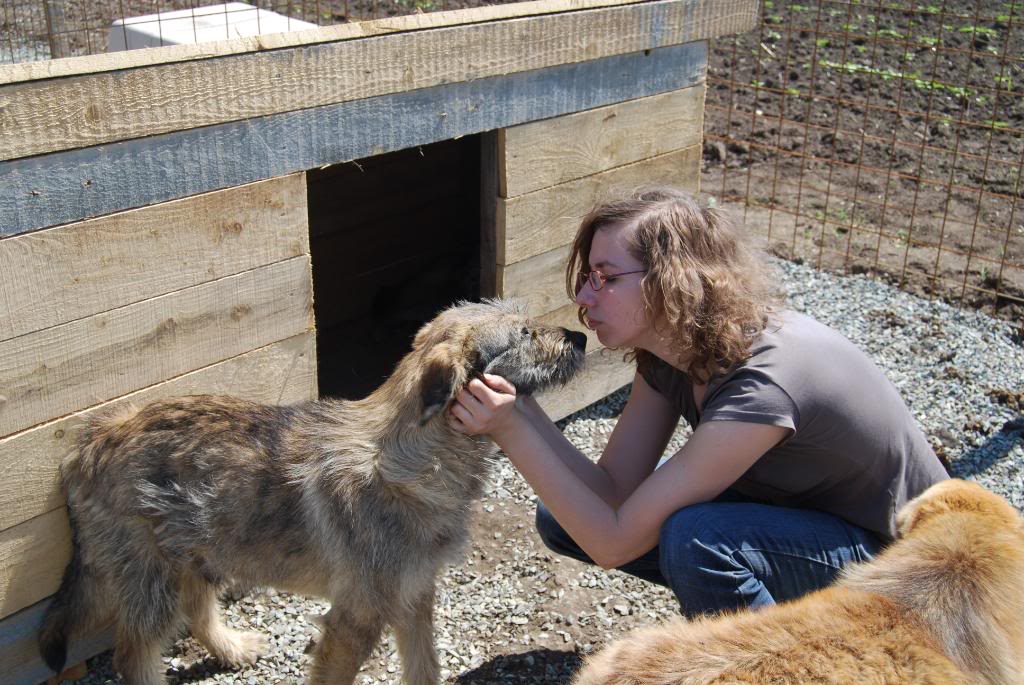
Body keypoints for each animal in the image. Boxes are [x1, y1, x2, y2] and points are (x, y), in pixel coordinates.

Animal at [41, 298, 585, 683]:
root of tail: (94, 436)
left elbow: (424, 666)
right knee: (134, 654)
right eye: (525, 334)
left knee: (196, 608)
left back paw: (231, 648)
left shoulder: (414, 594)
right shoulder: (355, 621)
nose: (580, 335)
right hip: (151, 576)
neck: (416, 460)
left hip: (198, 548)